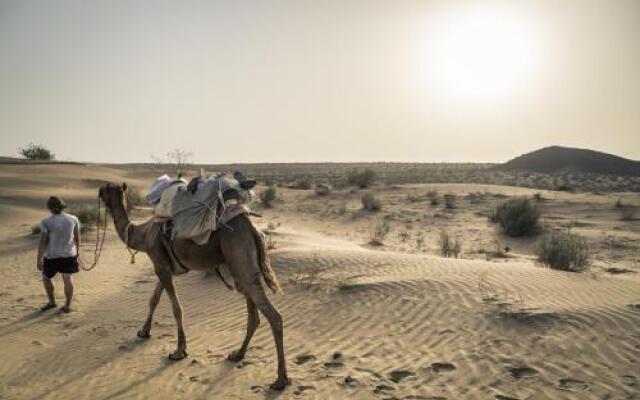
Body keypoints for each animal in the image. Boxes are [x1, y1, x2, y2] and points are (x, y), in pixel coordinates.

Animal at [97, 183, 290, 390]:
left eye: (107, 188)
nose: (99, 192)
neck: (143, 234)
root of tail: (253, 229)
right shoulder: (164, 267)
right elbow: (153, 299)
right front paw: (144, 331)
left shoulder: (161, 264)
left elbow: (176, 308)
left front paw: (179, 351)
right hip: (242, 270)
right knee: (254, 314)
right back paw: (238, 354)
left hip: (241, 260)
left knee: (274, 316)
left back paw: (280, 380)